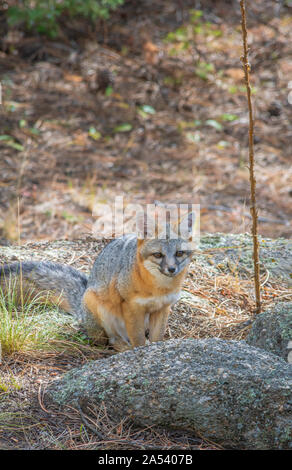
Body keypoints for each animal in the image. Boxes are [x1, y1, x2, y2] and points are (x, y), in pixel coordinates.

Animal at [1, 208, 196, 348]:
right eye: (158, 255)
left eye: (179, 253)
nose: (171, 269)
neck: (159, 288)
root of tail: (81, 308)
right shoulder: (132, 307)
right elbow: (138, 340)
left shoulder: (163, 308)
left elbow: (156, 339)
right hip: (101, 307)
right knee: (112, 341)